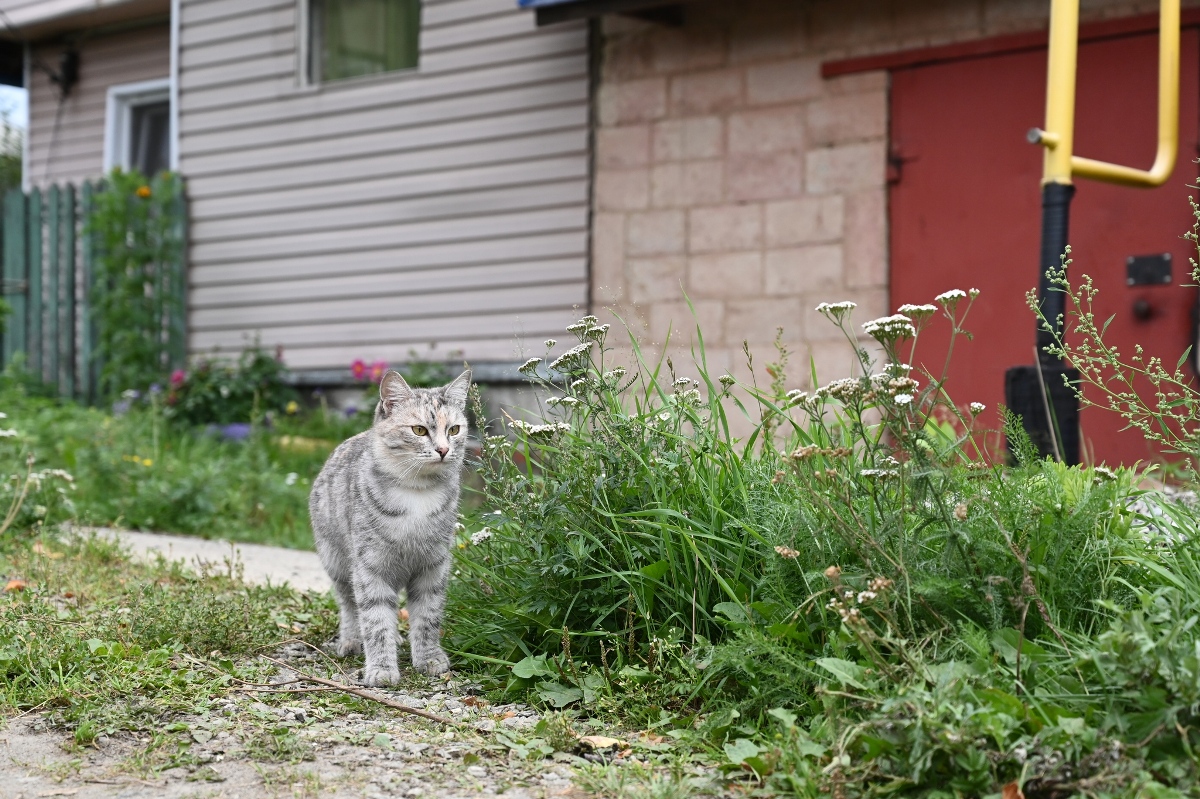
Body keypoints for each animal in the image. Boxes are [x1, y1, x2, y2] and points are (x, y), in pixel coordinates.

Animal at [307, 367, 470, 686]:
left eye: (454, 430)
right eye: (419, 430)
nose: (444, 449)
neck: (417, 494)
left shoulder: (433, 567)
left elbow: (428, 616)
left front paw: (429, 658)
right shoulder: (370, 567)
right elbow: (375, 619)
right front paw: (381, 668)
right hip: (337, 561)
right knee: (349, 605)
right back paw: (350, 640)